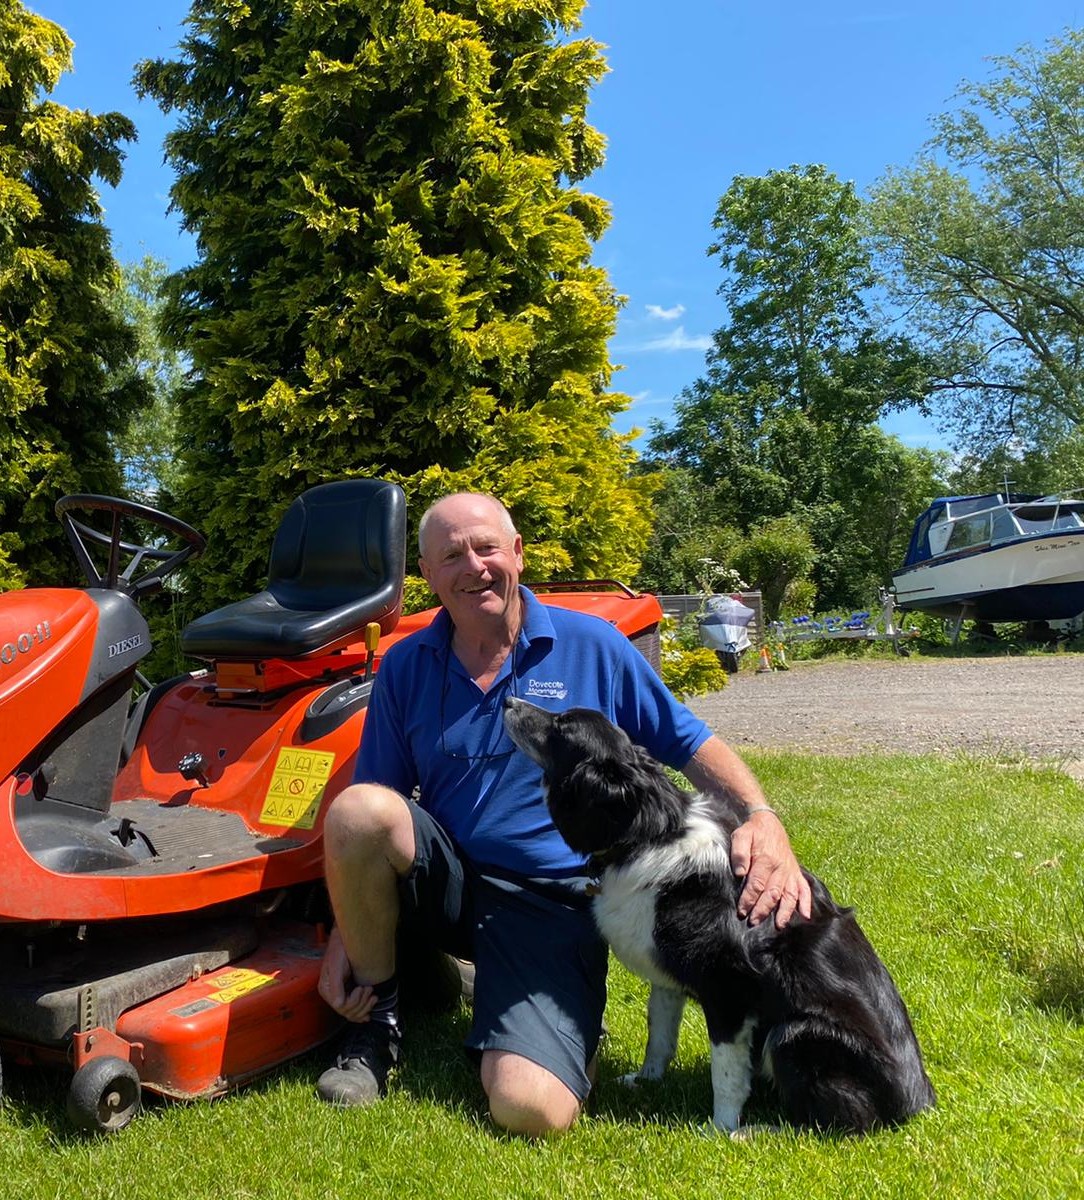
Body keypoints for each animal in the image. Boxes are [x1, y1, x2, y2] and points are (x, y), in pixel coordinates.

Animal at [504, 696, 936, 1132]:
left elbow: (726, 1073)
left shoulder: (729, 990)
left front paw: (720, 1129)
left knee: (838, 1121)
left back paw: (756, 1131)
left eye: (562, 725)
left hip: (794, 1033)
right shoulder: (667, 974)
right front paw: (646, 1081)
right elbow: (659, 1034)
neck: (649, 834)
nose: (509, 700)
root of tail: (916, 1106)